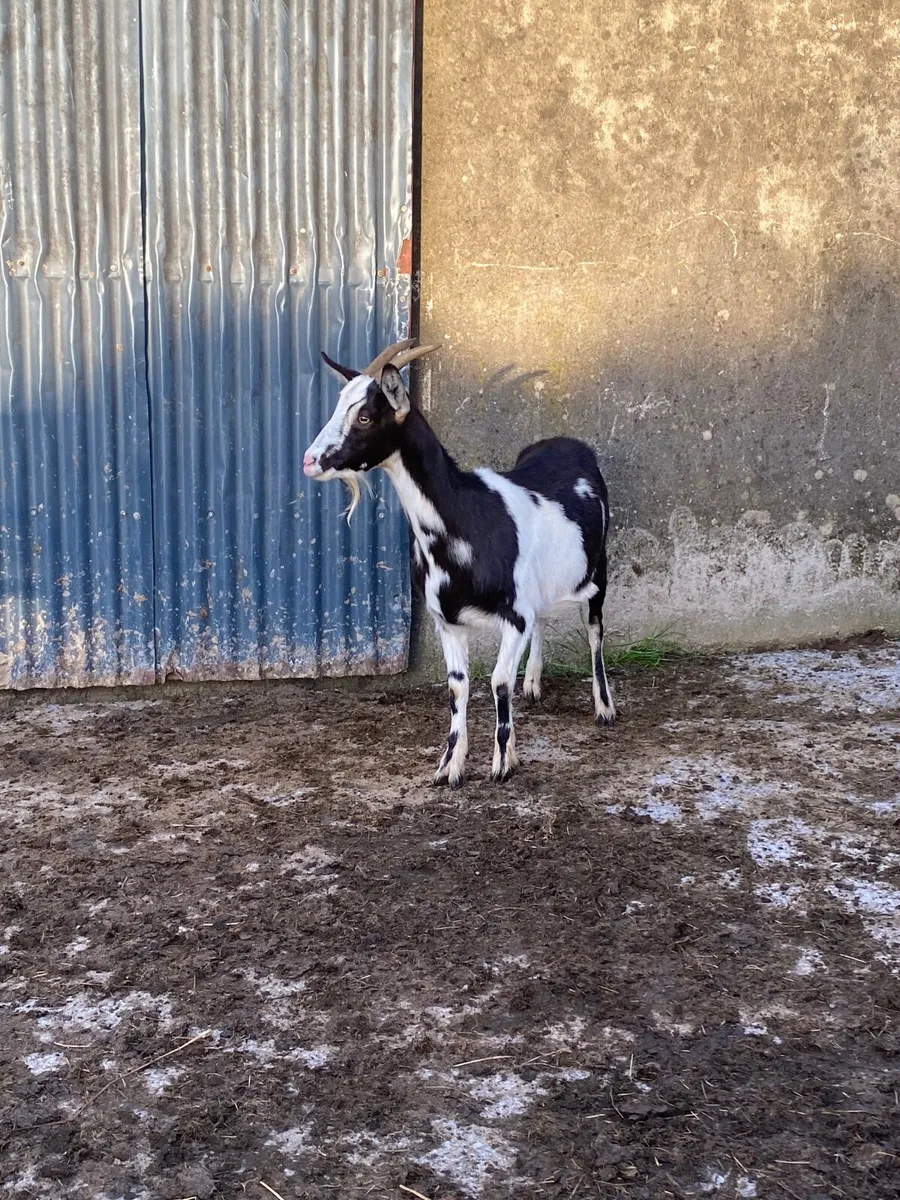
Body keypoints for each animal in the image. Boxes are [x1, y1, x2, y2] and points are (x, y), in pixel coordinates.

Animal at [303, 339, 615, 787]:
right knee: (543, 621)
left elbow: (498, 681)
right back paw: (533, 683)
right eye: (337, 406)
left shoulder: (513, 614)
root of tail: (572, 444)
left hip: (598, 572)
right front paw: (450, 766)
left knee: (594, 632)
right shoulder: (447, 620)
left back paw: (604, 707)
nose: (310, 461)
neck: (464, 520)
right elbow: (458, 686)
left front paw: (502, 762)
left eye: (364, 416)